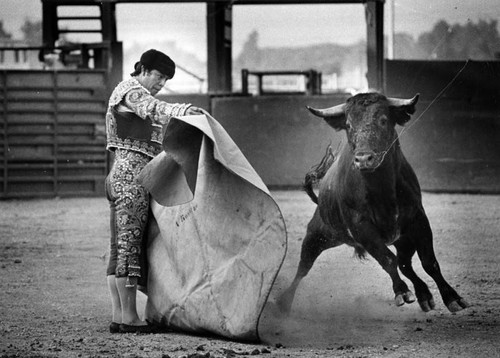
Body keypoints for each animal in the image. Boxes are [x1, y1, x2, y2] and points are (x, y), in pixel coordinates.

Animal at [278, 91, 468, 314]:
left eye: (384, 120)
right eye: (348, 124)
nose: (363, 159)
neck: (382, 188)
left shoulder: (418, 219)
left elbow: (429, 262)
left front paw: (452, 298)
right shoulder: (361, 228)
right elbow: (387, 259)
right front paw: (402, 292)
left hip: (402, 240)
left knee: (405, 264)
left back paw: (424, 295)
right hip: (317, 235)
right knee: (303, 267)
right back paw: (283, 302)